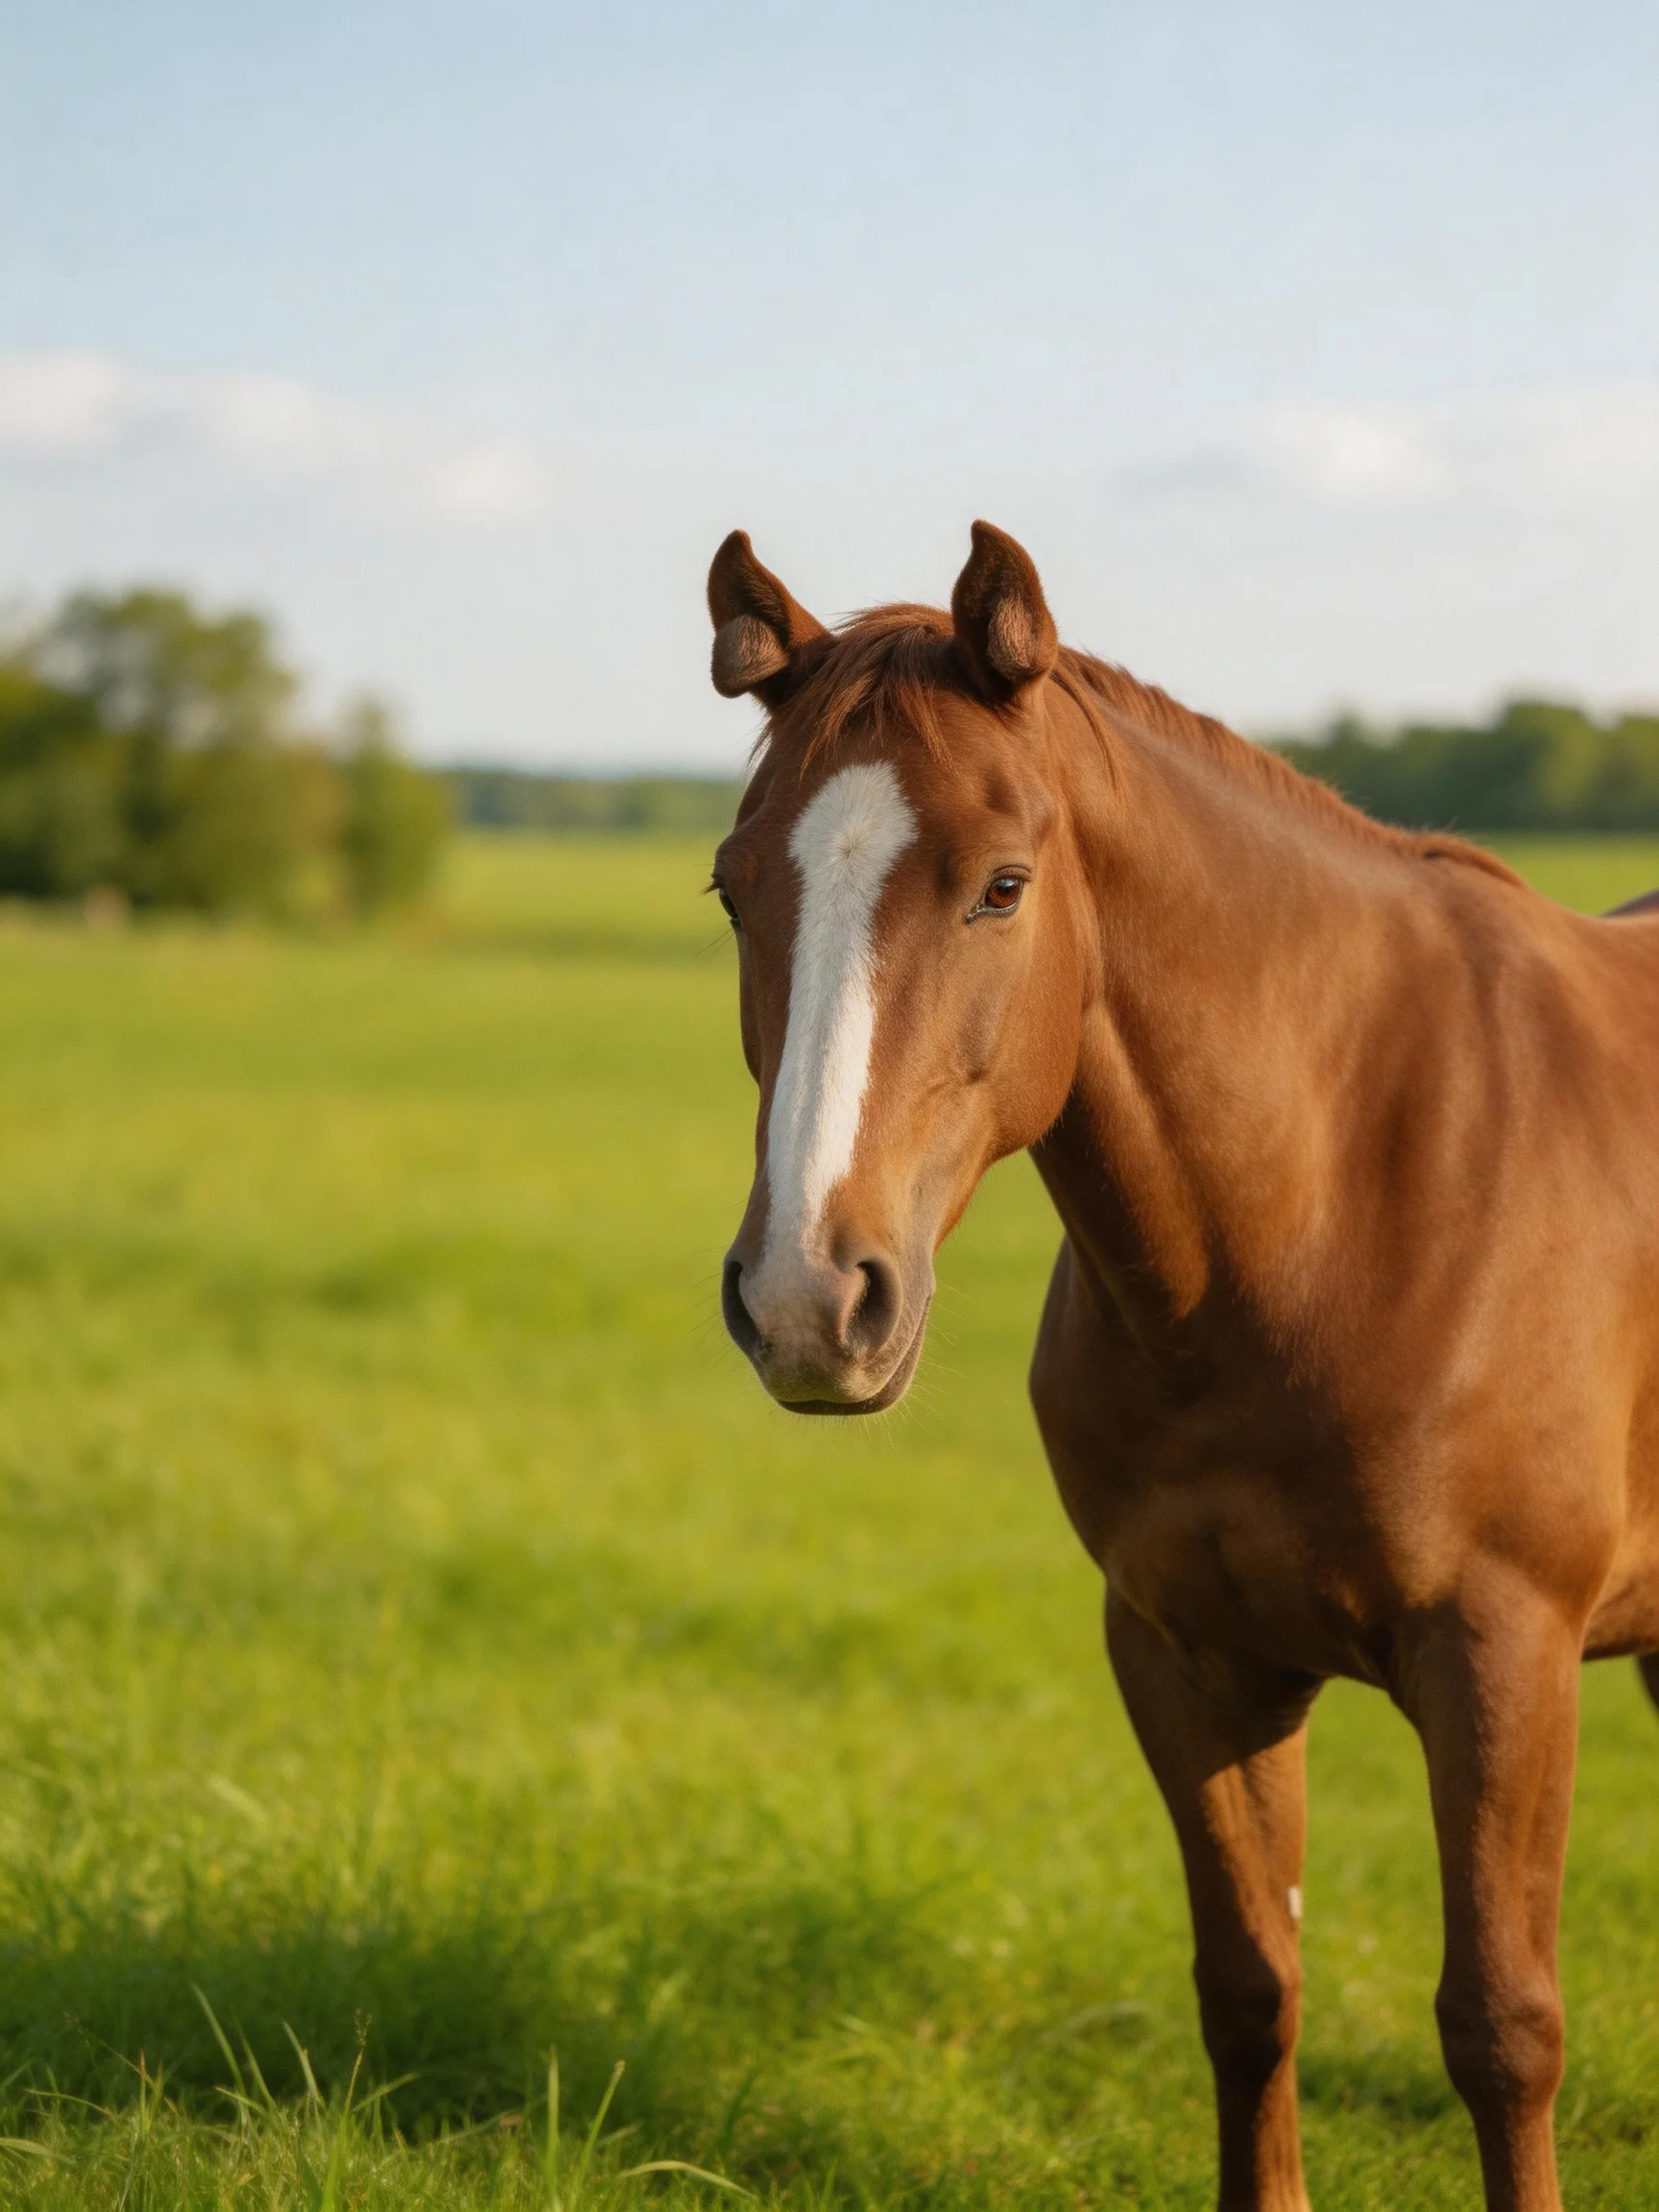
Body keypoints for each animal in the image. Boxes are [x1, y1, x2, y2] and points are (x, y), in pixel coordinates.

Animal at [702, 520, 1659, 2212]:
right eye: (735, 889)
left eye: (1002, 886)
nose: (812, 1297)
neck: (1330, 1207)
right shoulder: (1186, 1655)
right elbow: (1250, 1987)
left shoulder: (1506, 1657)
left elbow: (1502, 2026)